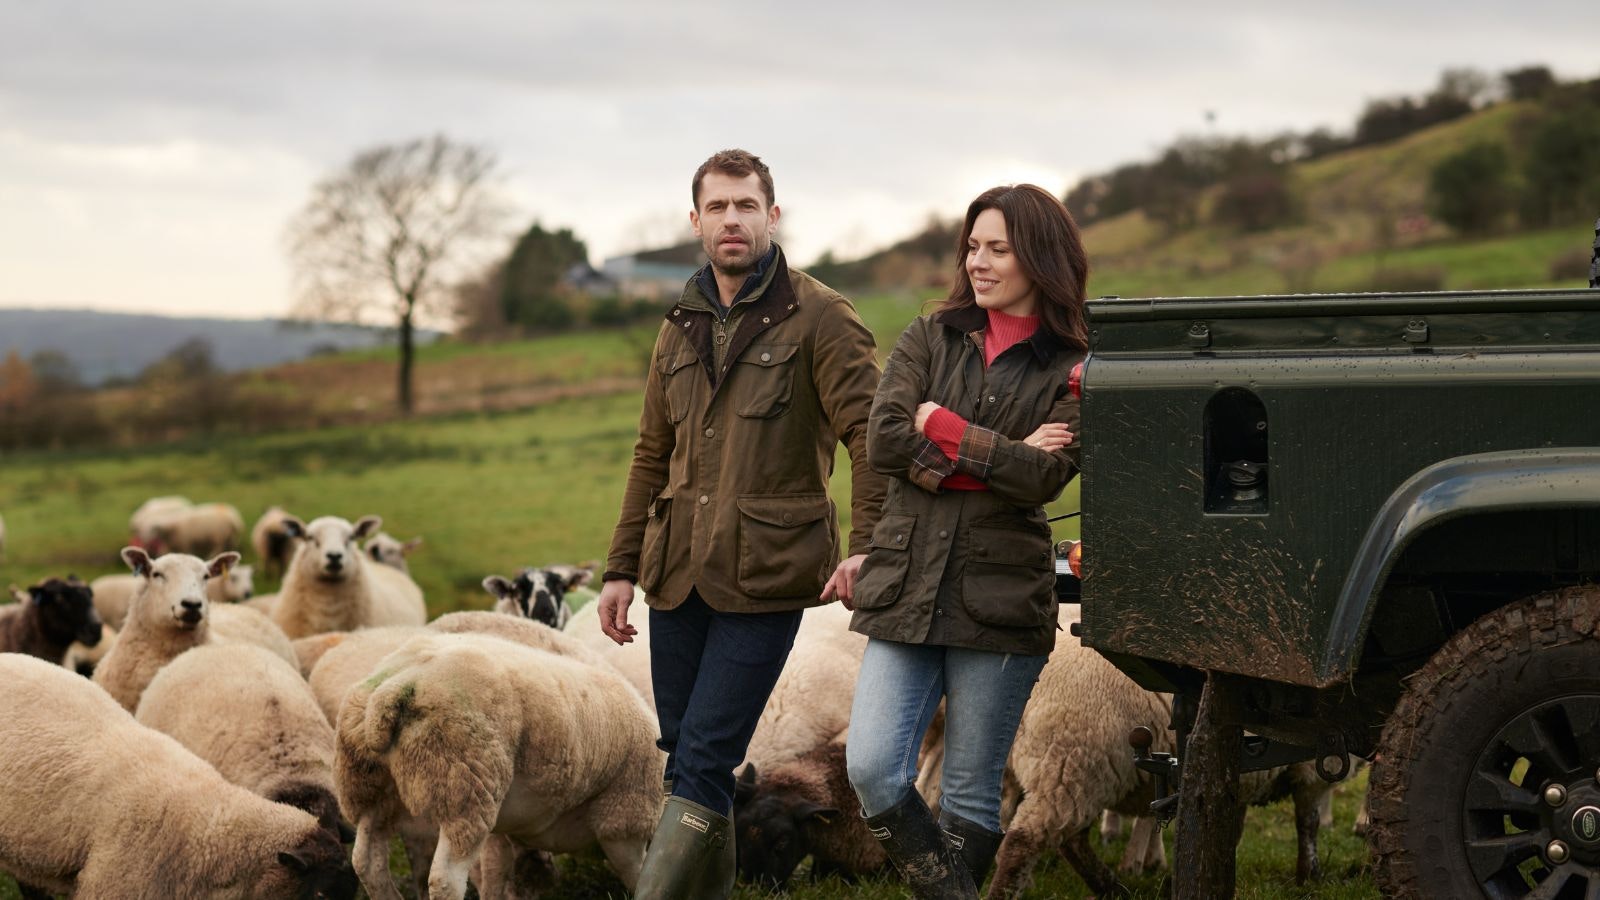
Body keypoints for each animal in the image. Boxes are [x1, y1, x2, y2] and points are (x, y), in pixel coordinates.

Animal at [337, 630, 662, 896]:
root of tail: (394, 689)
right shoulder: (624, 817)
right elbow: (639, 874)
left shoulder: (504, 826)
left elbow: (495, 873)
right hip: (464, 785)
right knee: (444, 879)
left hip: (369, 784)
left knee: (367, 861)